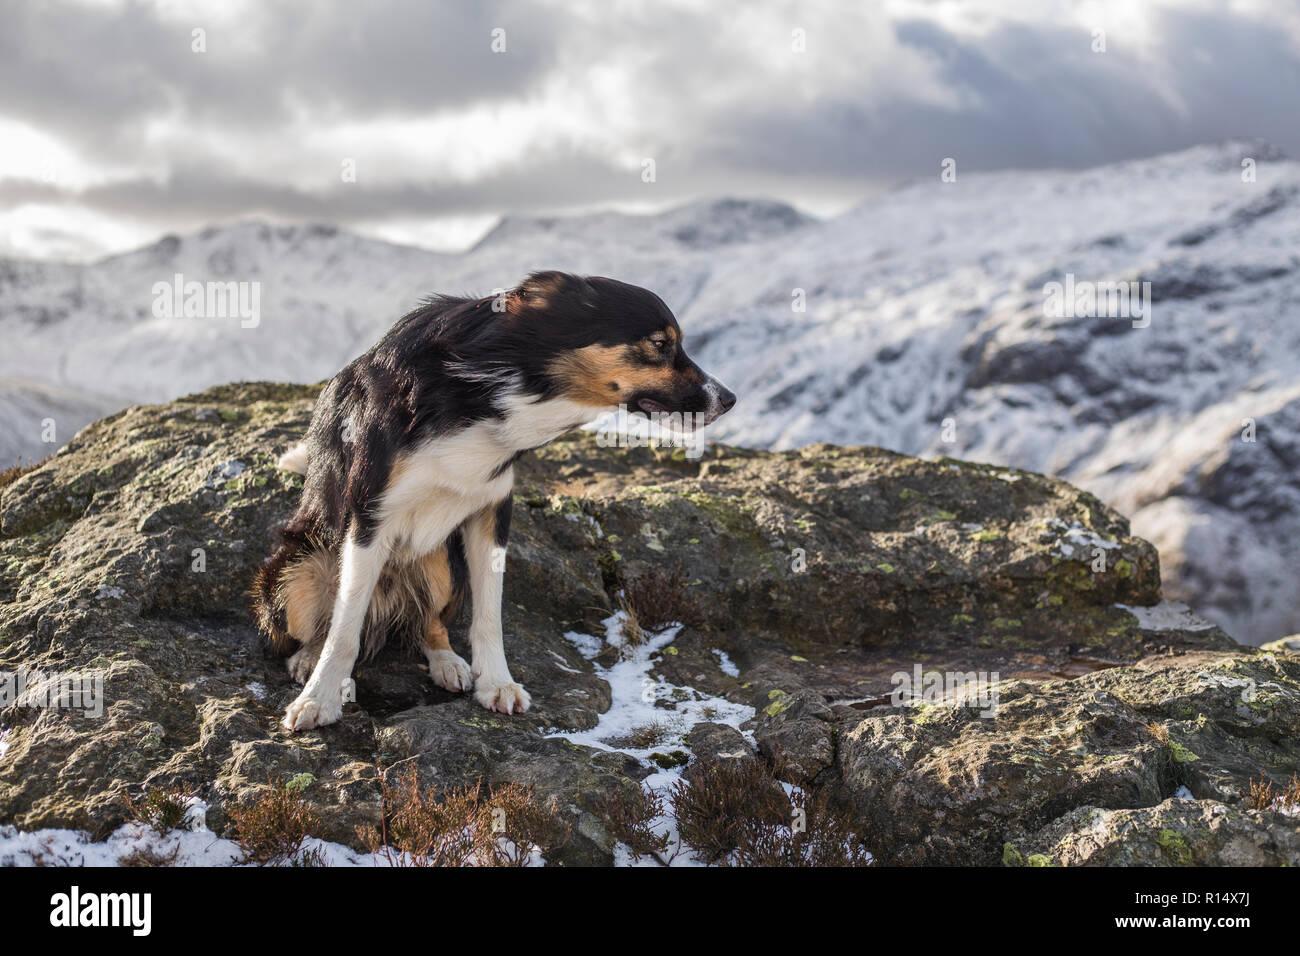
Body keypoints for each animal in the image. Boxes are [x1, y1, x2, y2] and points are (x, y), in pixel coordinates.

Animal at [249, 270, 738, 733]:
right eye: (660, 344)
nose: (730, 400)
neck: (490, 385)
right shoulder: (369, 515)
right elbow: (345, 626)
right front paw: (320, 699)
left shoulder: (492, 511)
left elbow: (489, 614)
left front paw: (497, 683)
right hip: (302, 568)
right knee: (320, 624)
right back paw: (308, 660)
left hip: (439, 561)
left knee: (429, 622)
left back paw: (447, 662)